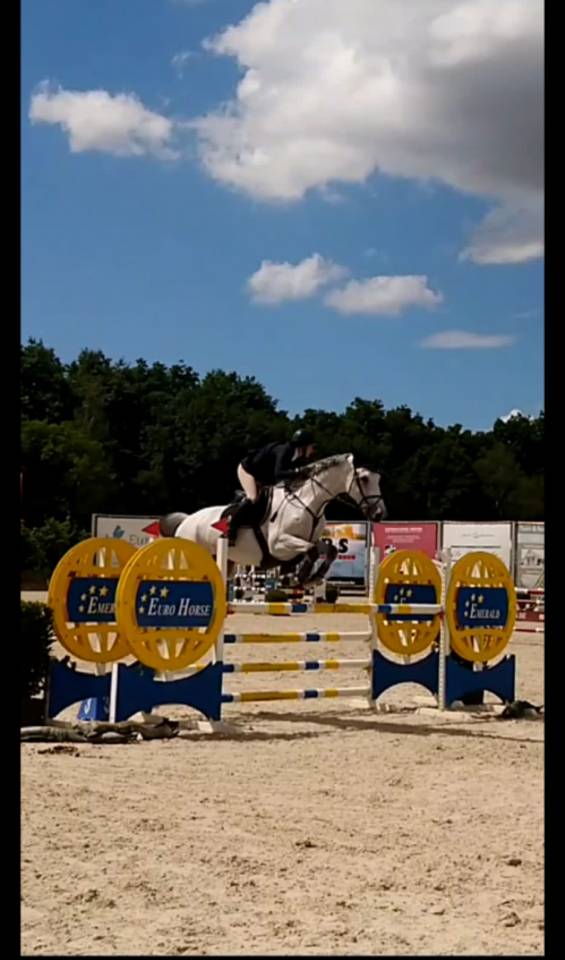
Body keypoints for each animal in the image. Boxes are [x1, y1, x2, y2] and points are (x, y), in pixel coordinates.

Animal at [159, 453, 386, 584]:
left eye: (378, 479)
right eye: (364, 479)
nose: (379, 513)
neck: (309, 502)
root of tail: (185, 521)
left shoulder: (310, 540)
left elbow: (329, 550)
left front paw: (314, 577)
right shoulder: (279, 544)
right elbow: (311, 551)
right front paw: (302, 577)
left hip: (225, 561)